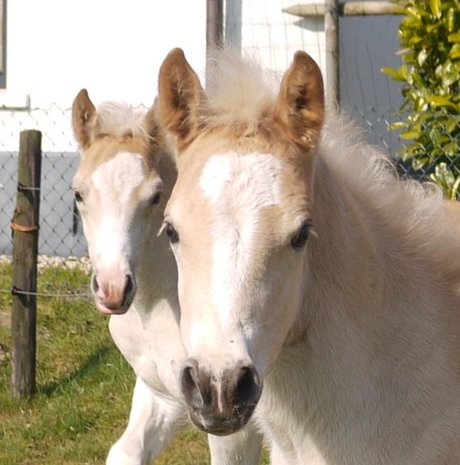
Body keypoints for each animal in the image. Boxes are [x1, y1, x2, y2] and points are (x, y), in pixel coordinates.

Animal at [70, 89, 260, 464]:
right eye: (79, 194)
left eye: (155, 196)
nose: (113, 289)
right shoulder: (162, 397)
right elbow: (125, 453)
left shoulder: (234, 421)